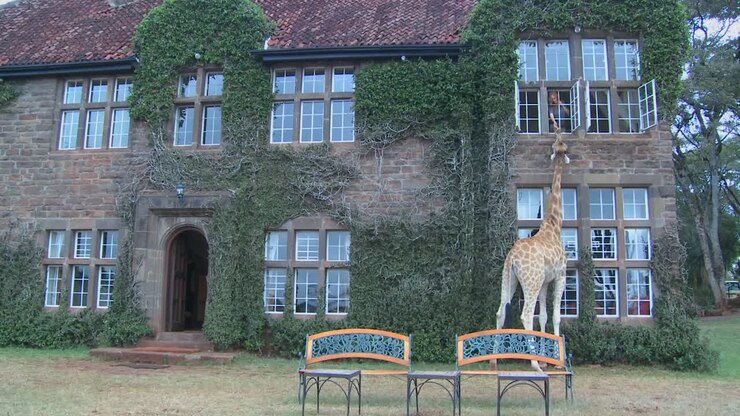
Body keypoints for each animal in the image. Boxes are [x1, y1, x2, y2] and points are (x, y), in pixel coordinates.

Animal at [495, 125, 570, 371]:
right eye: (562, 146)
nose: (561, 153)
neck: (554, 225)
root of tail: (511, 258)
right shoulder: (561, 275)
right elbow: (555, 316)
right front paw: (555, 362)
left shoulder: (545, 282)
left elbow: (544, 316)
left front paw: (548, 360)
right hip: (531, 279)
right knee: (526, 315)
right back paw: (534, 364)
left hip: (510, 278)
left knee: (501, 310)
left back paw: (494, 360)